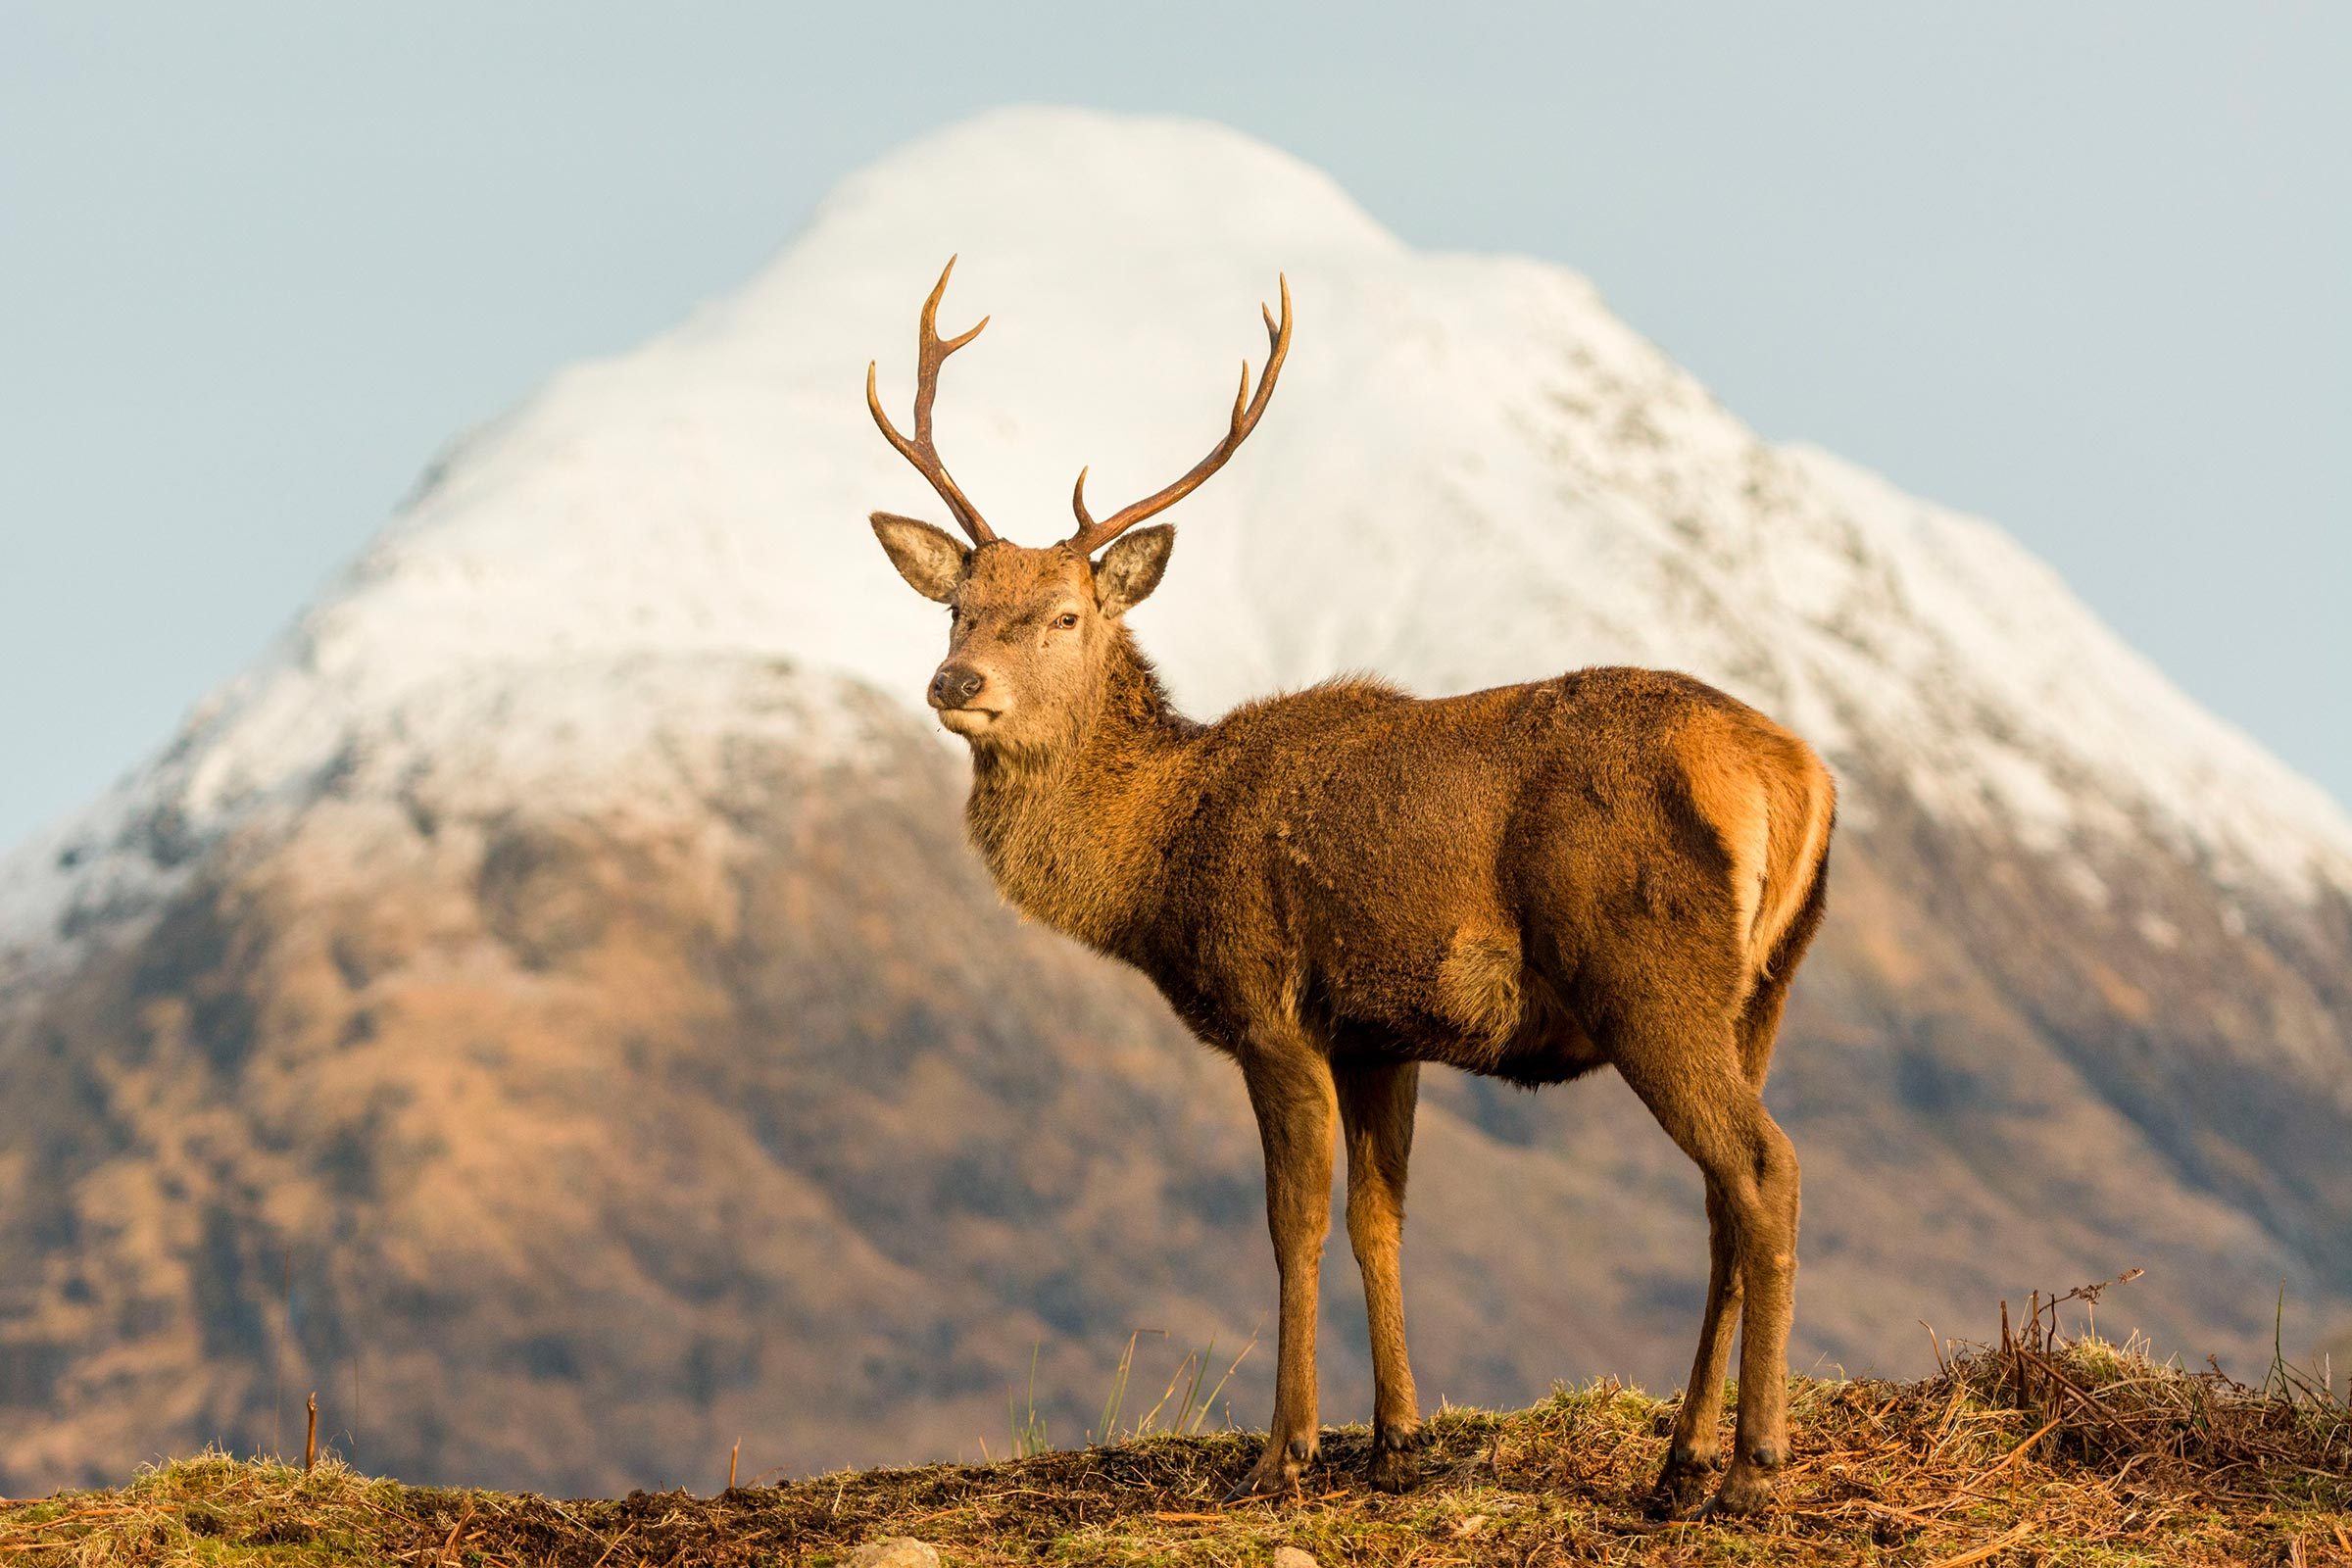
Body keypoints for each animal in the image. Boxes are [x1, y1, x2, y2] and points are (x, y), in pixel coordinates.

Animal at [860, 258, 1836, 1519]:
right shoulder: (1382, 1031)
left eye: (1066, 614)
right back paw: (1681, 1461)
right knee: (1726, 1189)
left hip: (1646, 972)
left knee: (1763, 1167)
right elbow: (1381, 1220)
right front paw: (1396, 1440)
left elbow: (1296, 1225)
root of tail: (1794, 775)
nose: (957, 682)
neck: (1157, 855)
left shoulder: (1271, 1005)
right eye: (956, 605)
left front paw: (1286, 1451)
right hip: (1762, 987)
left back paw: (1754, 1462)